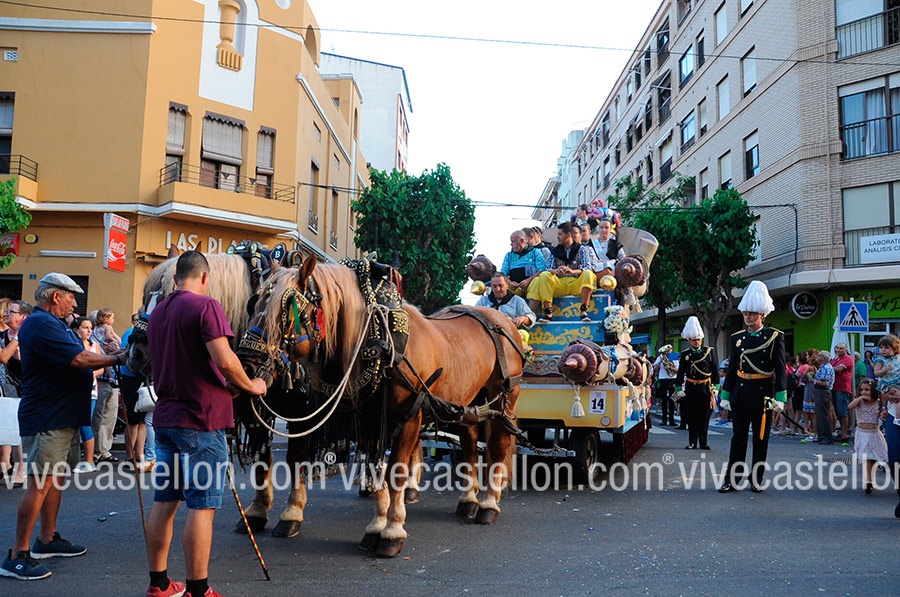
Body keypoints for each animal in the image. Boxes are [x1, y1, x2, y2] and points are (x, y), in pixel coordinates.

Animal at [238, 255, 526, 557]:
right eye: (254, 303)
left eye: (288, 311)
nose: (246, 365)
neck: (379, 340)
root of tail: (502, 320)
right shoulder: (369, 420)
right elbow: (375, 470)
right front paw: (376, 527)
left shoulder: (410, 417)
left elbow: (395, 472)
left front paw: (392, 531)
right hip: (468, 401)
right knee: (470, 443)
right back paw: (468, 500)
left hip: (505, 396)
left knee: (498, 444)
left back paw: (488, 504)